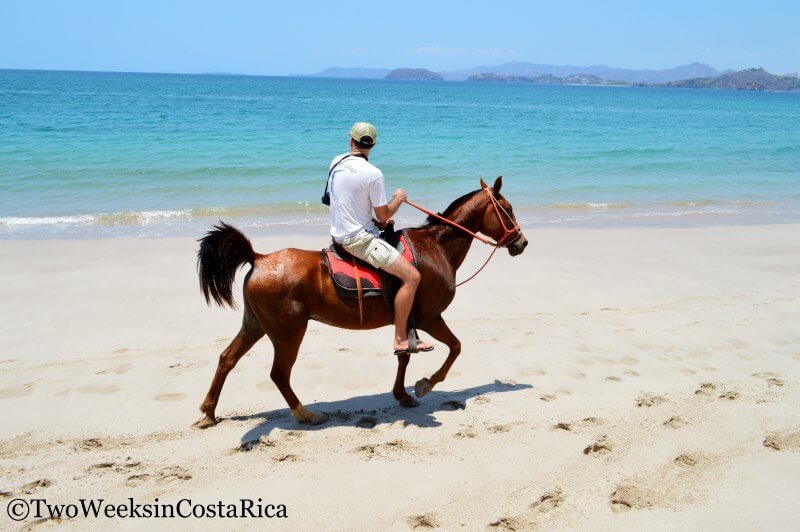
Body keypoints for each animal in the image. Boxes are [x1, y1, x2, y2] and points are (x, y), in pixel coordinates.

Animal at [195, 178, 528, 428]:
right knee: (278, 374)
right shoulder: (429, 317)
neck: (436, 247)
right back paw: (305, 414)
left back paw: (209, 412)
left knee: (227, 359)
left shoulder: (407, 321)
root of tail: (259, 257)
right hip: (288, 333)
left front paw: (402, 394)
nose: (522, 242)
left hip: (256, 325)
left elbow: (403, 355)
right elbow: (455, 348)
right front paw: (425, 385)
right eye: (507, 209)